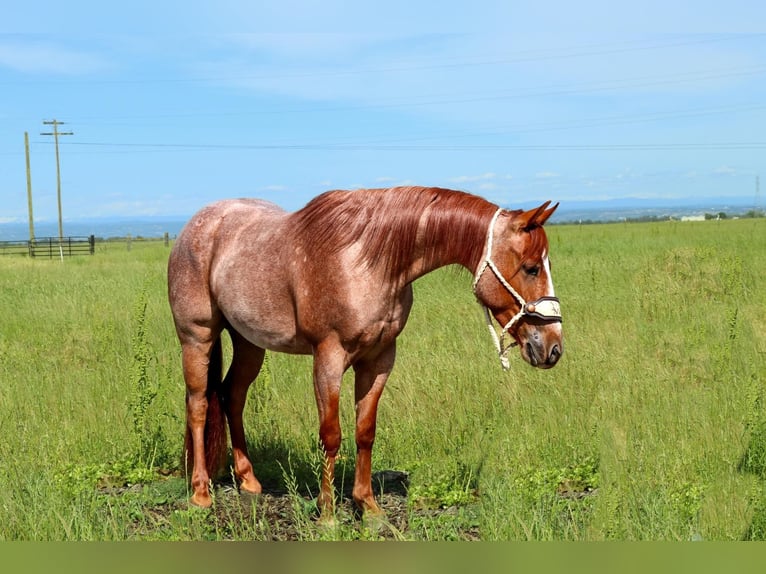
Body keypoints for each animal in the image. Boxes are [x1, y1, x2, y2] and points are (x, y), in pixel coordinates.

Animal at [168, 187, 564, 524]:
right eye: (531, 267)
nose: (553, 347)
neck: (368, 262)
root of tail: (195, 226)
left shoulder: (378, 360)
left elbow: (365, 432)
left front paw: (368, 506)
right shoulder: (328, 358)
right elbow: (331, 435)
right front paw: (328, 514)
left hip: (250, 344)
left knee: (232, 396)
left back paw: (249, 481)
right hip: (197, 338)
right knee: (199, 404)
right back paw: (200, 493)